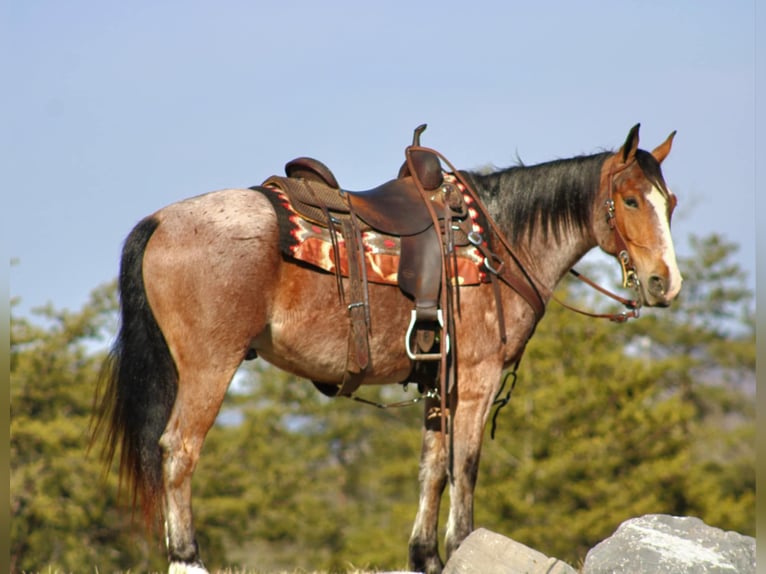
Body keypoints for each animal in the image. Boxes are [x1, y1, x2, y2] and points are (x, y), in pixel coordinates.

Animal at [91, 125, 684, 574]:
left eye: (670, 202)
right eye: (631, 200)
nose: (666, 284)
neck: (496, 241)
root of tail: (162, 220)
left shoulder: (439, 383)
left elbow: (432, 468)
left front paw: (426, 557)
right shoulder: (476, 379)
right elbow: (464, 466)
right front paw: (460, 545)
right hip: (210, 366)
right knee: (179, 451)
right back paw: (187, 559)